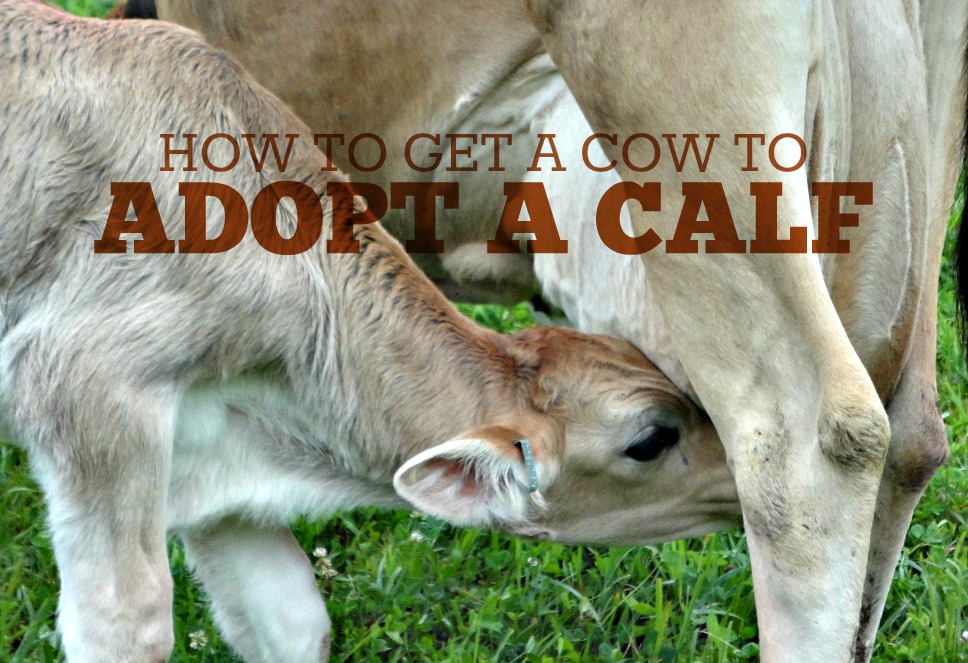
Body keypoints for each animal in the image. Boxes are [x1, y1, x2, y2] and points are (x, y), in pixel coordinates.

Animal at [0, 2, 743, 662]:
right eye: (651, 438)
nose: (744, 479)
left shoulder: (210, 470)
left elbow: (291, 621)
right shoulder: (88, 392)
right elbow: (127, 627)